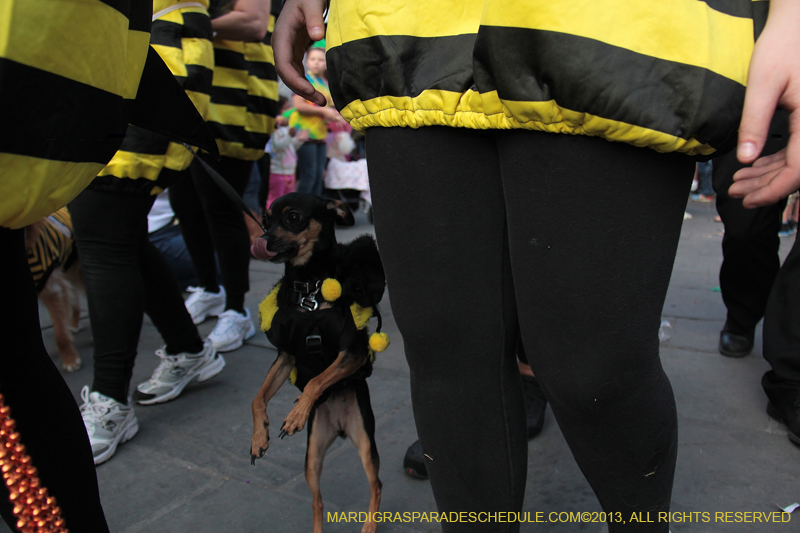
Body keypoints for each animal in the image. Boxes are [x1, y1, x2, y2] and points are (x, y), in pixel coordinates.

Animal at [250, 193, 388, 532]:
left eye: (293, 217)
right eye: (266, 219)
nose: (262, 240)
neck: (308, 292)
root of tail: (340, 428)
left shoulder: (352, 353)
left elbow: (317, 379)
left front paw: (296, 414)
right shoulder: (286, 356)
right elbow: (258, 398)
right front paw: (259, 437)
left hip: (365, 444)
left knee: (376, 485)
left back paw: (369, 526)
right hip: (312, 458)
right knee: (317, 502)